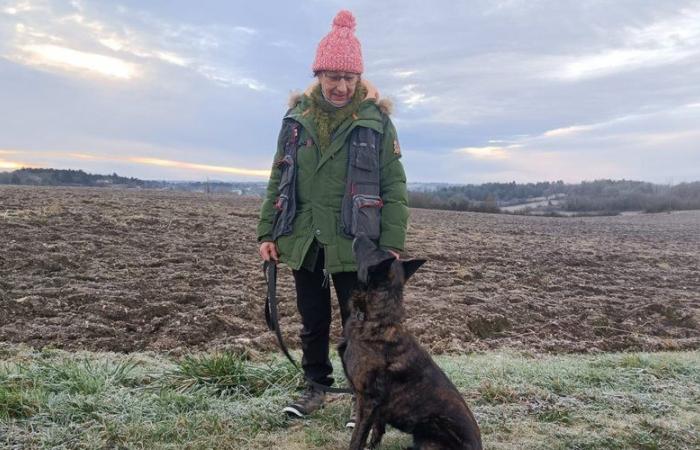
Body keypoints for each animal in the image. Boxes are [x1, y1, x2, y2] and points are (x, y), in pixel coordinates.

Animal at [340, 236, 484, 450]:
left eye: (374, 250)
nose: (359, 235)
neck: (376, 320)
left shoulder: (366, 402)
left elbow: (357, 438)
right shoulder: (376, 408)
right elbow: (377, 430)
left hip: (430, 429)